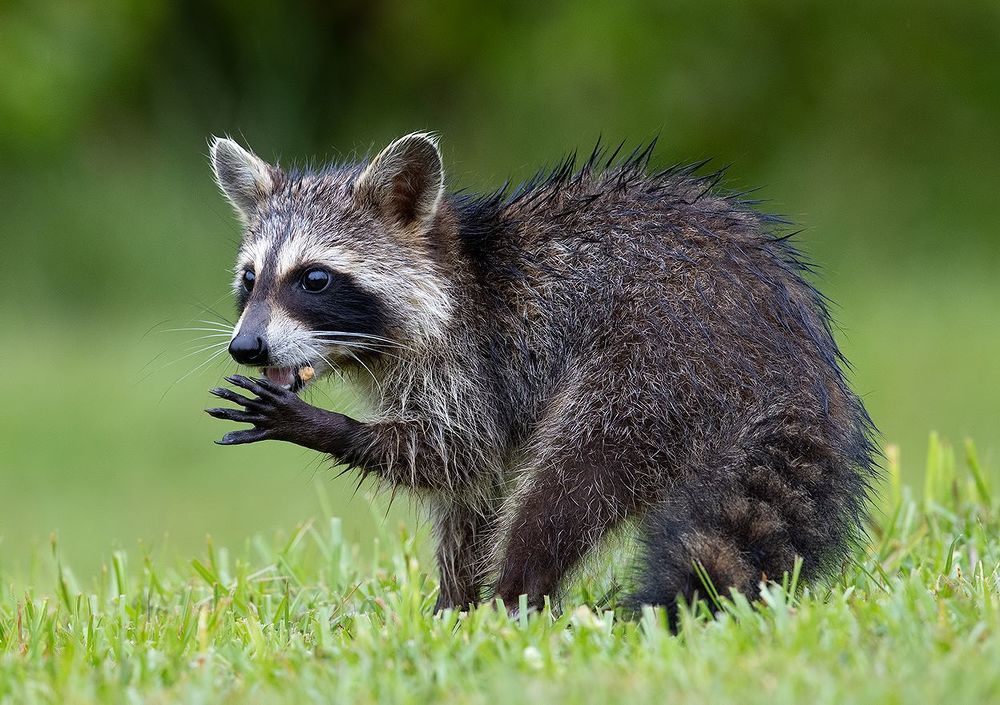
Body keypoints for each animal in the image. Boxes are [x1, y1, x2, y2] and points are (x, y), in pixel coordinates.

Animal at [205, 132, 877, 621]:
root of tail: (798, 362)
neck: (460, 270)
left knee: (570, 483)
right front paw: (453, 603)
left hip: (658, 365)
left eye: (313, 278)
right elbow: (470, 493)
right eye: (249, 279)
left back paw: (517, 596)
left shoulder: (474, 356)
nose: (246, 346)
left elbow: (456, 449)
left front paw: (319, 424)